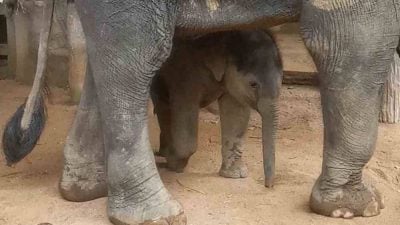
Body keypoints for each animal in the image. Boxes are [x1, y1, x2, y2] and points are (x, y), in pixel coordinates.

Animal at [152, 30, 282, 188]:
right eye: (253, 84)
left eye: (281, 80)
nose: (268, 185)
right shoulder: (184, 75)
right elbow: (185, 109)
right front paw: (174, 165)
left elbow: (235, 113)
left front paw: (235, 175)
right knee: (163, 104)